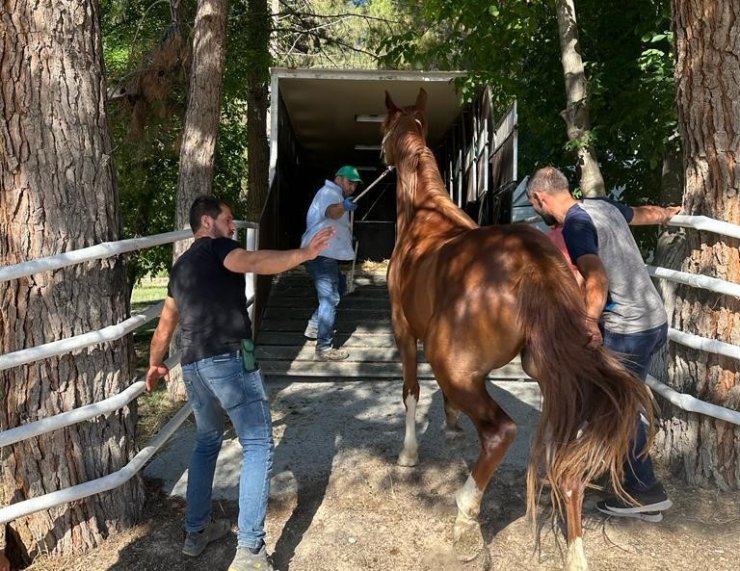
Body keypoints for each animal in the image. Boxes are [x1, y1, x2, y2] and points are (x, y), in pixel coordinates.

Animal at [384, 89, 652, 571]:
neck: (424, 219)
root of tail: (532, 262)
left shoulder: (404, 330)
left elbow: (411, 391)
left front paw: (408, 456)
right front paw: (451, 425)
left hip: (453, 362)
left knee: (501, 433)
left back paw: (465, 517)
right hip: (554, 374)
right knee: (567, 463)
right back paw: (576, 552)